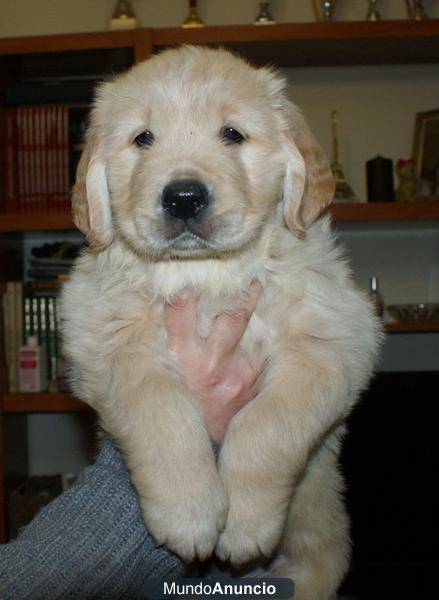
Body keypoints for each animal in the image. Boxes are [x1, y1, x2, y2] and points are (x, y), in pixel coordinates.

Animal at [61, 47, 382, 600]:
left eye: (232, 134)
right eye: (142, 138)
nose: (184, 197)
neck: (205, 275)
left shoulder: (336, 340)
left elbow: (267, 423)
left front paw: (246, 523)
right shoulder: (100, 335)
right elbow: (159, 407)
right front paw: (188, 512)